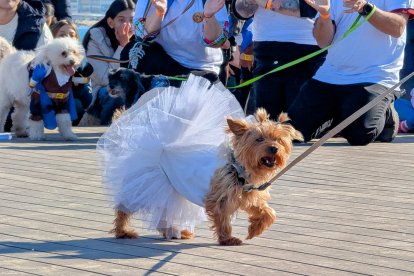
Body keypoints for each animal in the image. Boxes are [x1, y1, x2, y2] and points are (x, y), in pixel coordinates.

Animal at [111, 109, 302, 245]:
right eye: (259, 140)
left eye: (279, 140)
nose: (274, 148)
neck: (236, 168)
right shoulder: (220, 198)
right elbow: (223, 219)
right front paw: (227, 239)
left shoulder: (246, 194)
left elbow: (268, 212)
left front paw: (256, 228)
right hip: (145, 184)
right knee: (124, 208)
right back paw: (123, 231)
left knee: (164, 211)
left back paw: (175, 232)